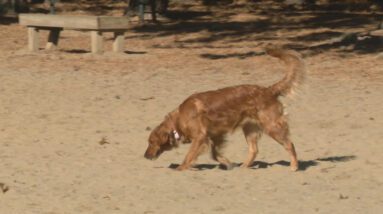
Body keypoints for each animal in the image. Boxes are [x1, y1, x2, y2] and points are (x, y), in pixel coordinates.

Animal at [144, 46, 306, 171]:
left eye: (151, 142)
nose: (145, 156)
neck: (179, 120)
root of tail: (269, 90)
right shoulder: (216, 135)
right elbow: (214, 154)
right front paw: (228, 163)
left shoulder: (200, 136)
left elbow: (189, 155)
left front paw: (181, 168)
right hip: (250, 128)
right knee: (254, 150)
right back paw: (243, 167)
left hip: (271, 126)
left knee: (289, 144)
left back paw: (294, 166)